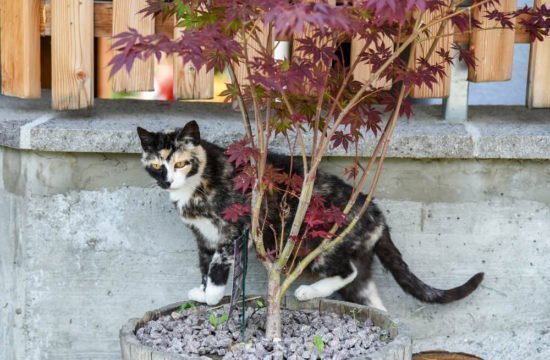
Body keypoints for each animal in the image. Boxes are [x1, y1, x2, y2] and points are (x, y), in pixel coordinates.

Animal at [139, 120, 488, 310]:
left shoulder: (234, 230)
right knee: (371, 297)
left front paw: (211, 296)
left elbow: (217, 269)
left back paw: (308, 291)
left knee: (345, 270)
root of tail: (375, 214)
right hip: (359, 271)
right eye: (156, 165)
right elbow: (204, 266)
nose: (167, 180)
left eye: (181, 163)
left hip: (315, 241)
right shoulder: (203, 237)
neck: (198, 183)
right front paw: (201, 293)